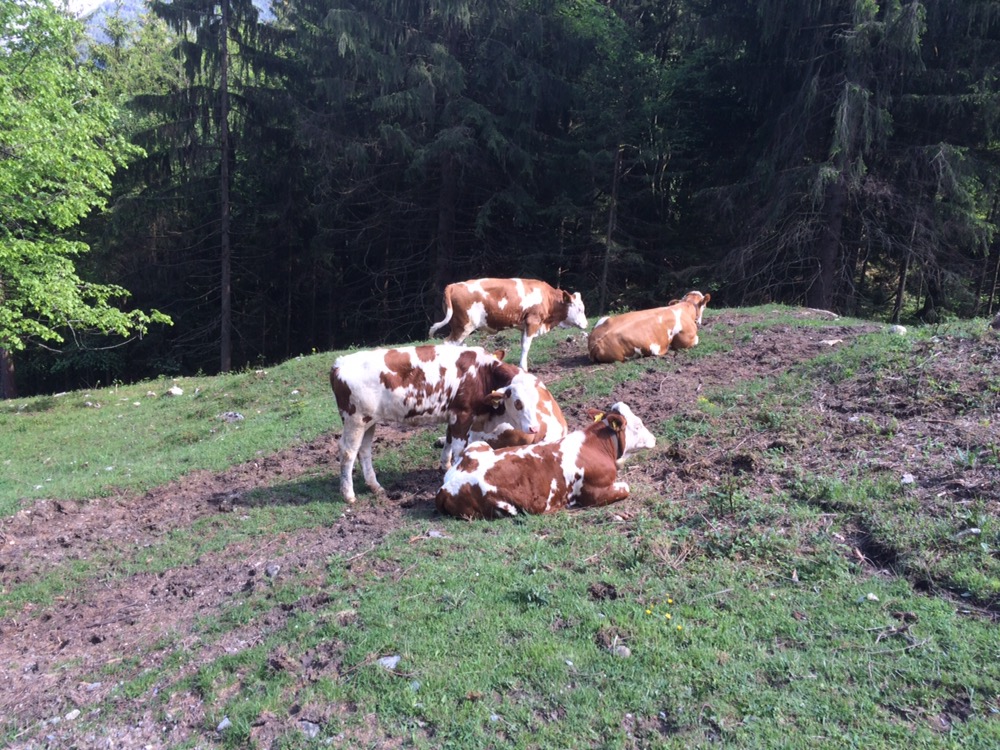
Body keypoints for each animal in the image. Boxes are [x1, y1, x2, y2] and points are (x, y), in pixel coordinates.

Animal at [330, 345, 551, 503]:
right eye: (518, 402)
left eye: (536, 399)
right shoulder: (463, 414)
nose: (534, 428)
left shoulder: (453, 414)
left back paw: (374, 486)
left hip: (369, 421)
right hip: (356, 420)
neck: (483, 372)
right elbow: (460, 446)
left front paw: (445, 464)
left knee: (364, 450)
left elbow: (449, 439)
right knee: (348, 452)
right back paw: (348, 494)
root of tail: (339, 363)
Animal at [428, 278, 588, 371]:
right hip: (462, 326)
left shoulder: (524, 326)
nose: (586, 324)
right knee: (448, 343)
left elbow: (523, 344)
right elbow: (526, 346)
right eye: (580, 309)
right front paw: (523, 367)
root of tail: (453, 286)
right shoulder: (533, 321)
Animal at [435, 402, 656, 520]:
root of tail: (445, 488)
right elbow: (626, 487)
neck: (595, 444)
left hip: (478, 444)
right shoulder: (595, 493)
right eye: (638, 425)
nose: (654, 438)